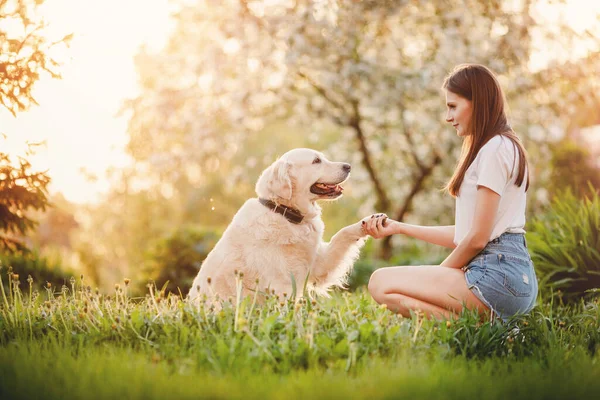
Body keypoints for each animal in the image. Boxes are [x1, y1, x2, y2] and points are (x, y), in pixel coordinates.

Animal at [188, 148, 370, 304]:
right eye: (316, 161)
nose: (348, 166)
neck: (285, 213)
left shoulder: (318, 264)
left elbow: (342, 234)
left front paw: (367, 223)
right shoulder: (281, 285)